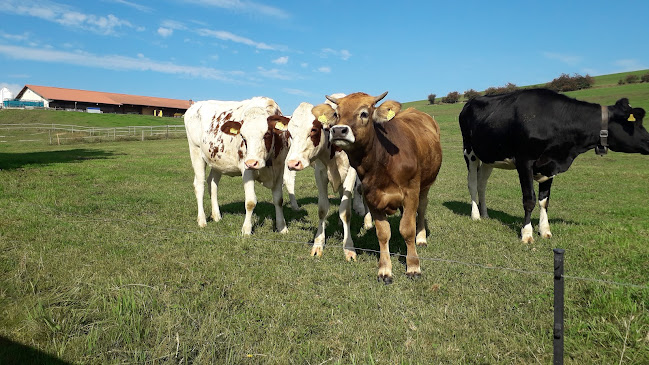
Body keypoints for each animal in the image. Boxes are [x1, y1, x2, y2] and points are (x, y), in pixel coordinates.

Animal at [184, 96, 292, 233]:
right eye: (243, 136)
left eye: (267, 134)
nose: (252, 162)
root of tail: (195, 105)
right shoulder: (246, 170)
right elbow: (250, 202)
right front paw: (246, 229)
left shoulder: (279, 169)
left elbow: (278, 200)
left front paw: (282, 227)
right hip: (196, 152)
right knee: (199, 185)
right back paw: (202, 220)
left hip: (217, 162)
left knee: (212, 184)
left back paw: (216, 215)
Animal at [318, 90, 440, 282]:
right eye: (337, 114)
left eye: (364, 113)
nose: (338, 130)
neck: (383, 161)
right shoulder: (373, 197)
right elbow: (383, 233)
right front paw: (384, 269)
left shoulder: (411, 192)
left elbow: (407, 230)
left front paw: (413, 266)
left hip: (425, 185)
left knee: (421, 210)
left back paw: (421, 238)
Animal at [458, 88, 644, 242]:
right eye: (633, 123)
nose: (648, 142)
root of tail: (470, 102)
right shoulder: (524, 161)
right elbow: (529, 199)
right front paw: (527, 234)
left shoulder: (550, 164)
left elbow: (544, 201)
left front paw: (545, 230)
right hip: (470, 152)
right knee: (472, 183)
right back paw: (475, 215)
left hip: (488, 157)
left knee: (482, 184)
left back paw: (485, 214)